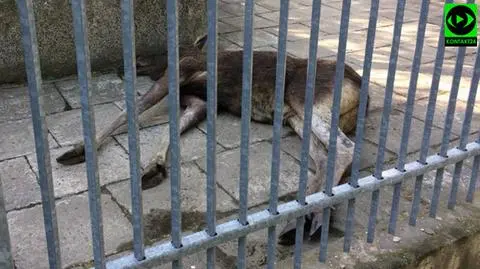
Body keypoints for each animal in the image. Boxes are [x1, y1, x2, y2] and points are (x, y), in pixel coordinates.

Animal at [55, 33, 368, 245]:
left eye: (163, 49)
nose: (130, 61)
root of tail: (362, 93)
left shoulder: (181, 71)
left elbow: (130, 111)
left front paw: (79, 149)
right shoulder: (200, 102)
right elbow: (170, 128)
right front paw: (154, 166)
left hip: (305, 99)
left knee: (344, 147)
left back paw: (308, 219)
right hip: (295, 118)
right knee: (324, 156)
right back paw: (299, 221)